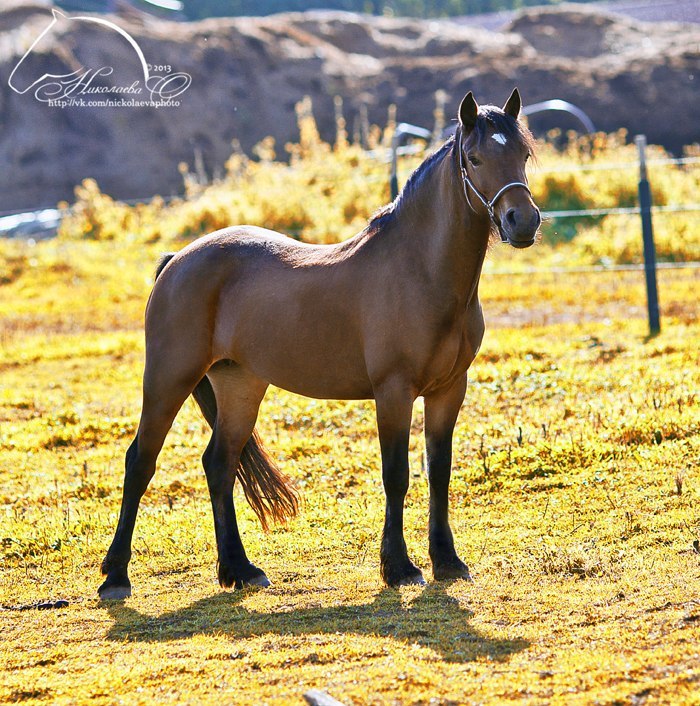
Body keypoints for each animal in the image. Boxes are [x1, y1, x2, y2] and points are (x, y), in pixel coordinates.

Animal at [98, 89, 540, 600]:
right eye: (474, 157)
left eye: (522, 154)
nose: (523, 221)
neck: (419, 270)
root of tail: (177, 260)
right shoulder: (393, 391)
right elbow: (397, 475)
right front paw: (399, 567)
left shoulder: (450, 389)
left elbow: (439, 472)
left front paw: (446, 561)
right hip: (169, 378)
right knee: (140, 461)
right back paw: (116, 576)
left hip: (239, 385)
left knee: (219, 464)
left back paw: (240, 570)